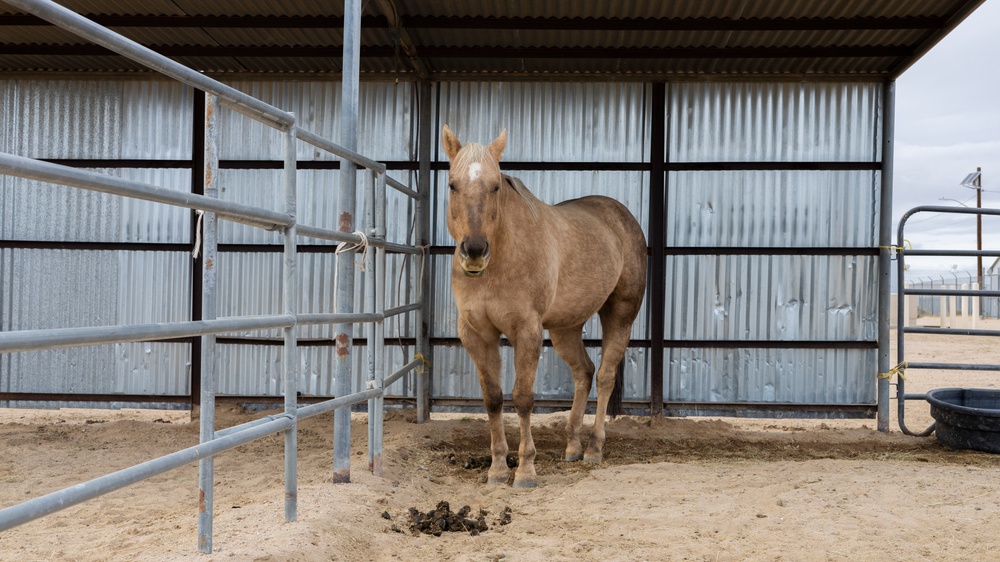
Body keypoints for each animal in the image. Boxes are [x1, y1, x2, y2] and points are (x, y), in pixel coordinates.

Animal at [440, 124, 644, 484]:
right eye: (453, 184)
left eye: (495, 186)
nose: (475, 251)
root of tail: (621, 216)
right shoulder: (476, 333)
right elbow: (493, 399)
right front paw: (497, 468)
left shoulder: (527, 330)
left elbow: (522, 399)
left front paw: (525, 470)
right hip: (566, 328)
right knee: (584, 372)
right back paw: (573, 446)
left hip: (620, 313)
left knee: (605, 376)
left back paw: (594, 448)